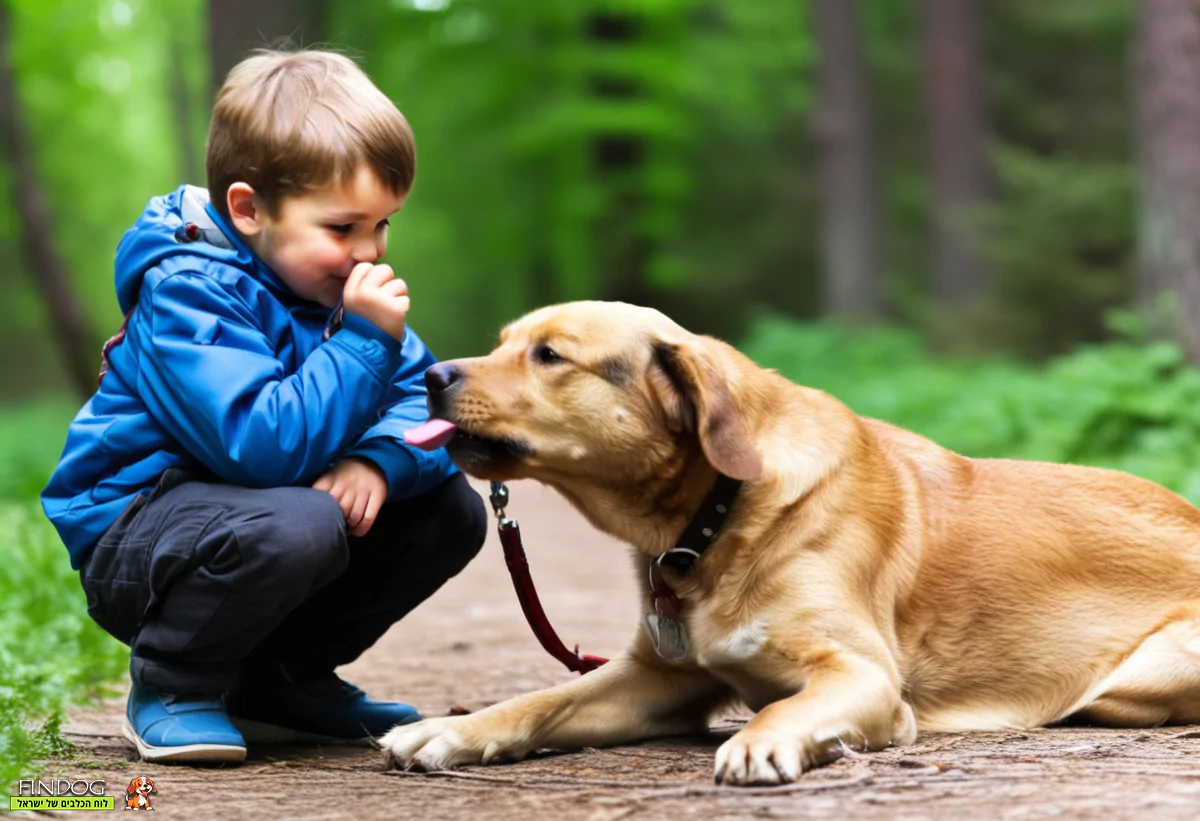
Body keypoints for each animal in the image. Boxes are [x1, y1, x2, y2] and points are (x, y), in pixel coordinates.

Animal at [379, 300, 1200, 782]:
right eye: (505, 344)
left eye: (550, 355)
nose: (431, 374)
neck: (719, 514)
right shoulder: (657, 678)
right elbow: (537, 701)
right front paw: (450, 730)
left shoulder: (862, 674)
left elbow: (780, 709)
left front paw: (764, 739)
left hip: (1142, 672)